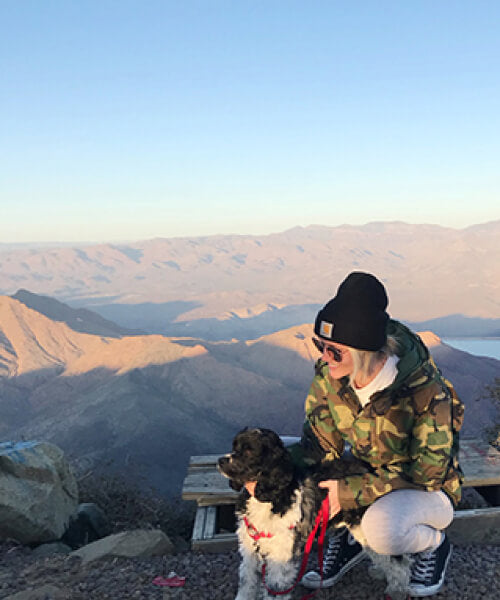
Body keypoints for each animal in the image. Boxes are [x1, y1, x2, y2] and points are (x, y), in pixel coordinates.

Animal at [218, 426, 410, 600]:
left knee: (399, 560)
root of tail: (371, 470)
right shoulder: (250, 551)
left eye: (249, 451)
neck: (269, 498)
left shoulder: (282, 558)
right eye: (235, 446)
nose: (220, 460)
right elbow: (247, 585)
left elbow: (275, 590)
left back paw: (398, 589)